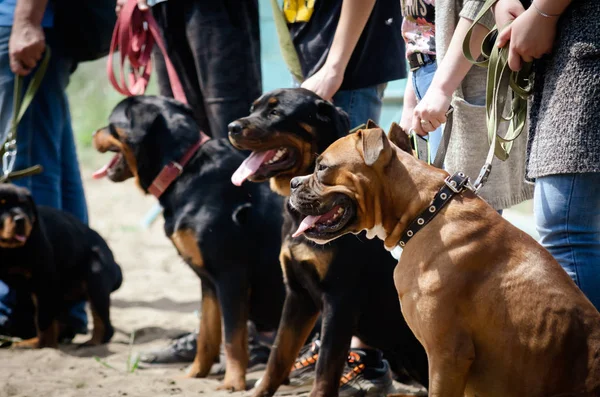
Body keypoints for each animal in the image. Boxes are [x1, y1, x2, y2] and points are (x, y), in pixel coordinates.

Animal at [0, 183, 122, 346]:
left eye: (25, 205)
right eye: (1, 206)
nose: (20, 219)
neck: (8, 250)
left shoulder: (43, 281)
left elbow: (43, 320)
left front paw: (43, 345)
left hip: (95, 278)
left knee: (103, 322)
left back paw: (92, 342)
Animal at [94, 96, 288, 390]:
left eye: (110, 122)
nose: (95, 133)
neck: (181, 168)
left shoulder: (231, 277)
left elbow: (232, 339)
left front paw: (232, 383)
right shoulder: (208, 282)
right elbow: (208, 335)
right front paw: (195, 373)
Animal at [227, 87, 428, 396]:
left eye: (275, 112)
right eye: (253, 108)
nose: (232, 127)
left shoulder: (340, 297)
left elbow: (326, 366)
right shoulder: (298, 294)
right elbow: (278, 356)